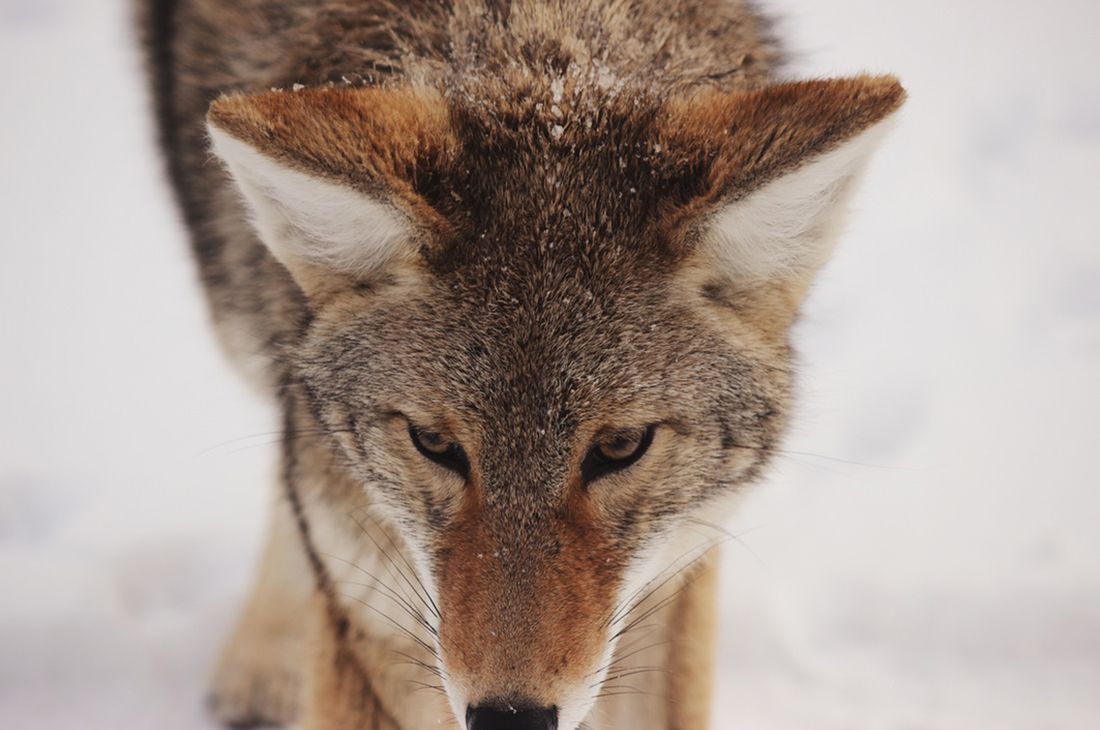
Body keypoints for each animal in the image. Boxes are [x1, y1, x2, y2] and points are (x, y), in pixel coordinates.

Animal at [139, 1, 904, 728]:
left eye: (621, 447)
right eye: (434, 443)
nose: (511, 718)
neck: (538, 43)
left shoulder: (673, 574)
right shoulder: (375, 610)